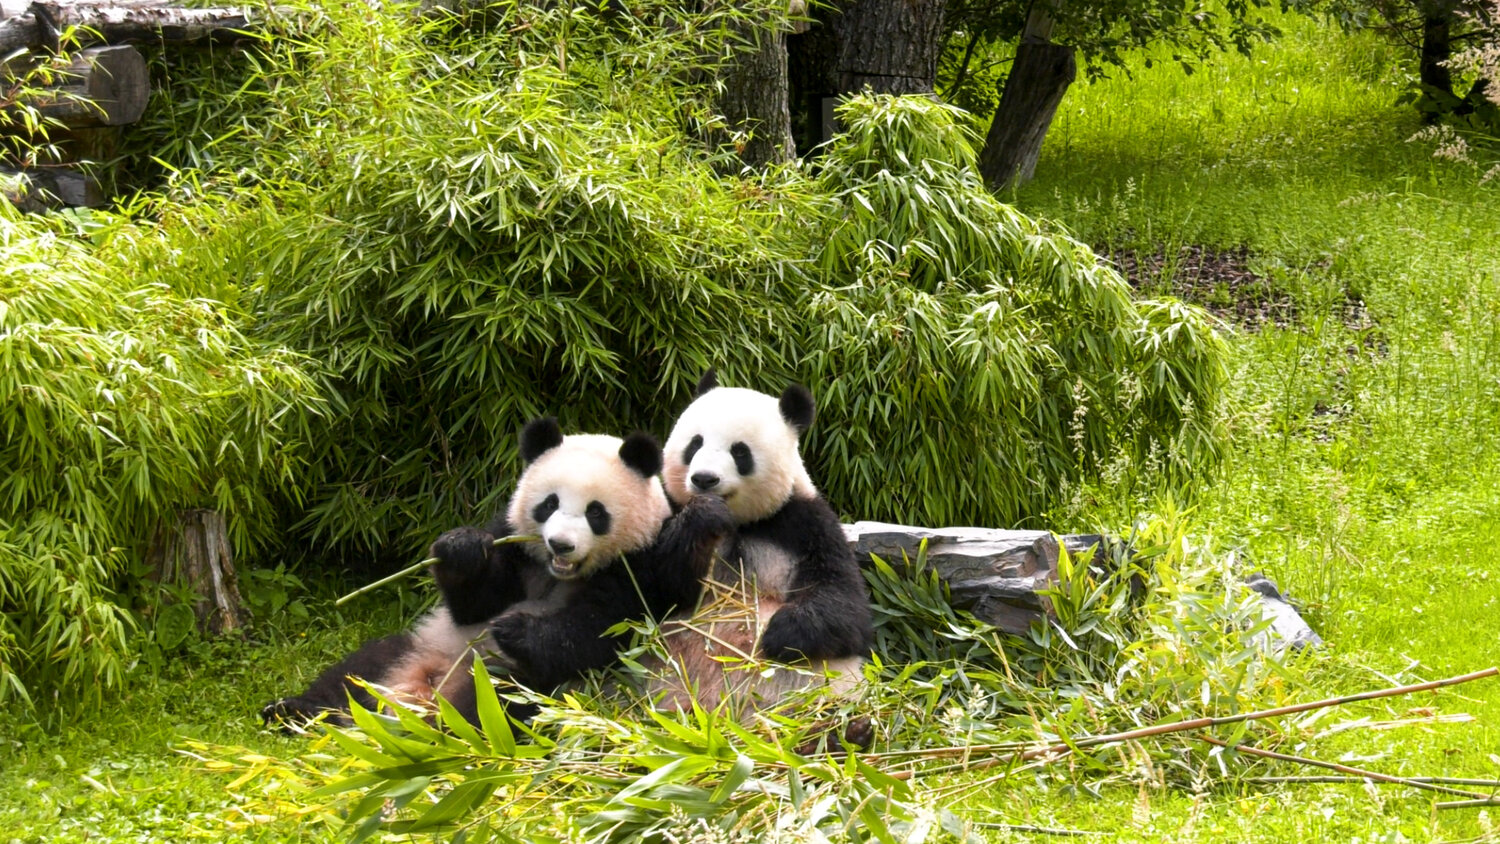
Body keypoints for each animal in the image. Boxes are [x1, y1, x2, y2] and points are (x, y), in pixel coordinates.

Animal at [262, 417, 731, 728]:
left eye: (596, 513)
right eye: (549, 504)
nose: (560, 544)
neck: (558, 574)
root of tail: (418, 695)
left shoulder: (639, 566)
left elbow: (597, 627)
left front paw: (515, 630)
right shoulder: (512, 544)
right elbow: (477, 601)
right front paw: (461, 550)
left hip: (500, 683)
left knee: (493, 707)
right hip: (413, 647)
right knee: (353, 673)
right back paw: (291, 712)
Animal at [643, 371, 874, 727]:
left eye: (740, 452)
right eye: (695, 444)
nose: (704, 479)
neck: (739, 522)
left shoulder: (804, 524)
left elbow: (847, 608)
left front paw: (778, 633)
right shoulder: (667, 512)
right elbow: (660, 587)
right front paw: (704, 515)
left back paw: (846, 731)